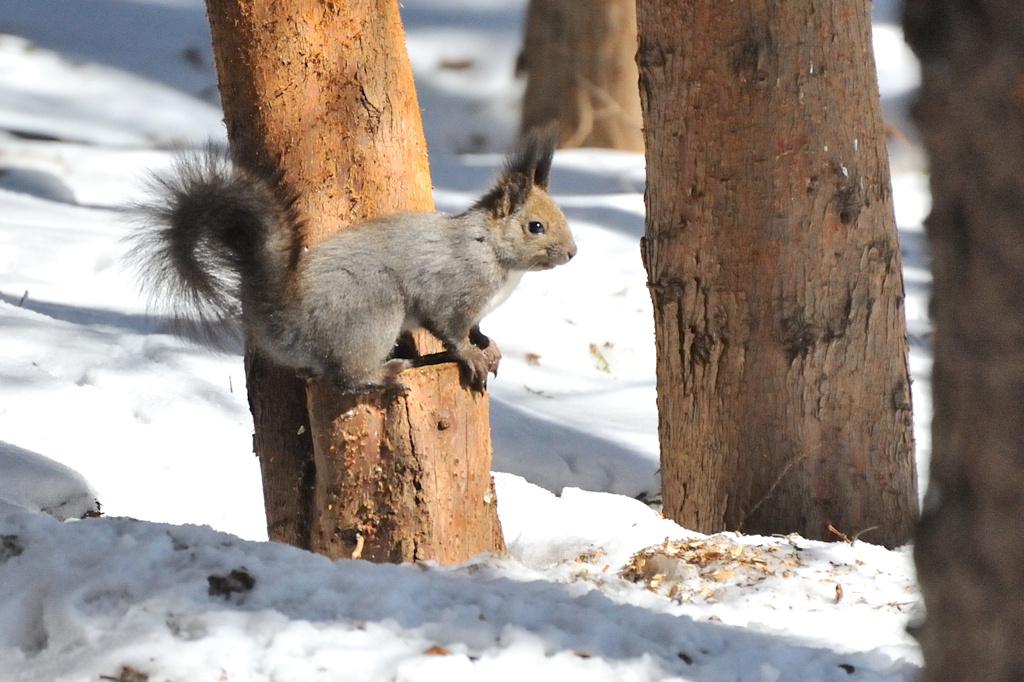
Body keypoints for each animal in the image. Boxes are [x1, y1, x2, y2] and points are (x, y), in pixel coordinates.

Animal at [128, 129, 577, 391]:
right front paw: (472, 356)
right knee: (344, 378)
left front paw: (489, 346)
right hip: (372, 312)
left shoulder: (476, 309)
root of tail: (288, 325)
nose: (573, 253)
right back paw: (386, 374)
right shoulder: (451, 292)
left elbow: (477, 328)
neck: (492, 251)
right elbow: (451, 331)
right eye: (536, 226)